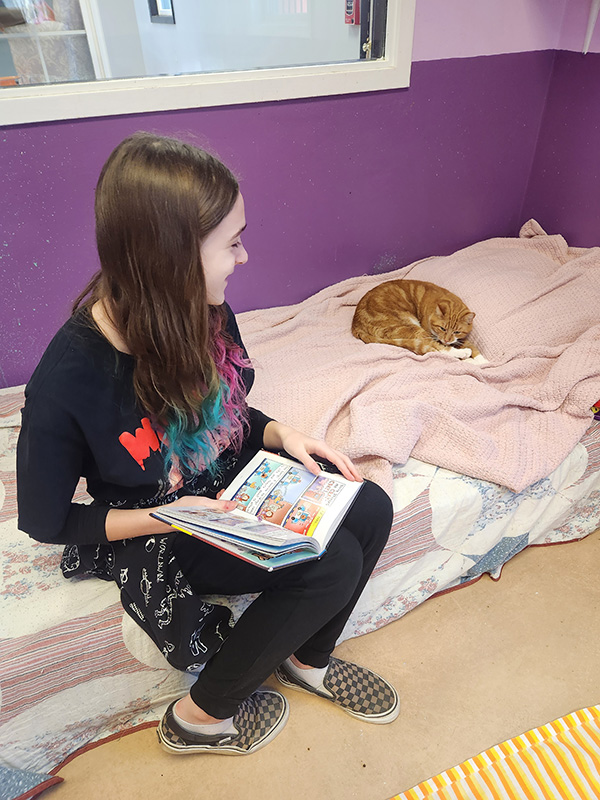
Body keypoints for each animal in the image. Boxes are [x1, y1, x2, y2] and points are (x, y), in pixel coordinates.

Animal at [350, 280, 480, 358]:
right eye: (442, 328)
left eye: (457, 332)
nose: (446, 340)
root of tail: (355, 325)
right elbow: (439, 346)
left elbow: (468, 343)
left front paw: (480, 360)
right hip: (408, 326)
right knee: (434, 348)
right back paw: (463, 353)